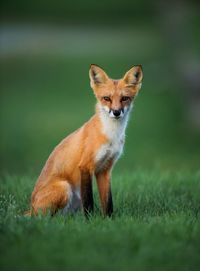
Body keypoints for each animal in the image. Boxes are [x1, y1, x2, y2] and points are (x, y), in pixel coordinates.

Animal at [28, 64, 144, 219]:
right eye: (106, 98)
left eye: (125, 98)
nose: (116, 112)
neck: (111, 135)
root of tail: (31, 207)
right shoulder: (85, 166)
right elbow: (89, 201)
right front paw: (89, 220)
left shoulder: (105, 169)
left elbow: (108, 201)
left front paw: (109, 219)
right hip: (64, 187)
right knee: (46, 218)